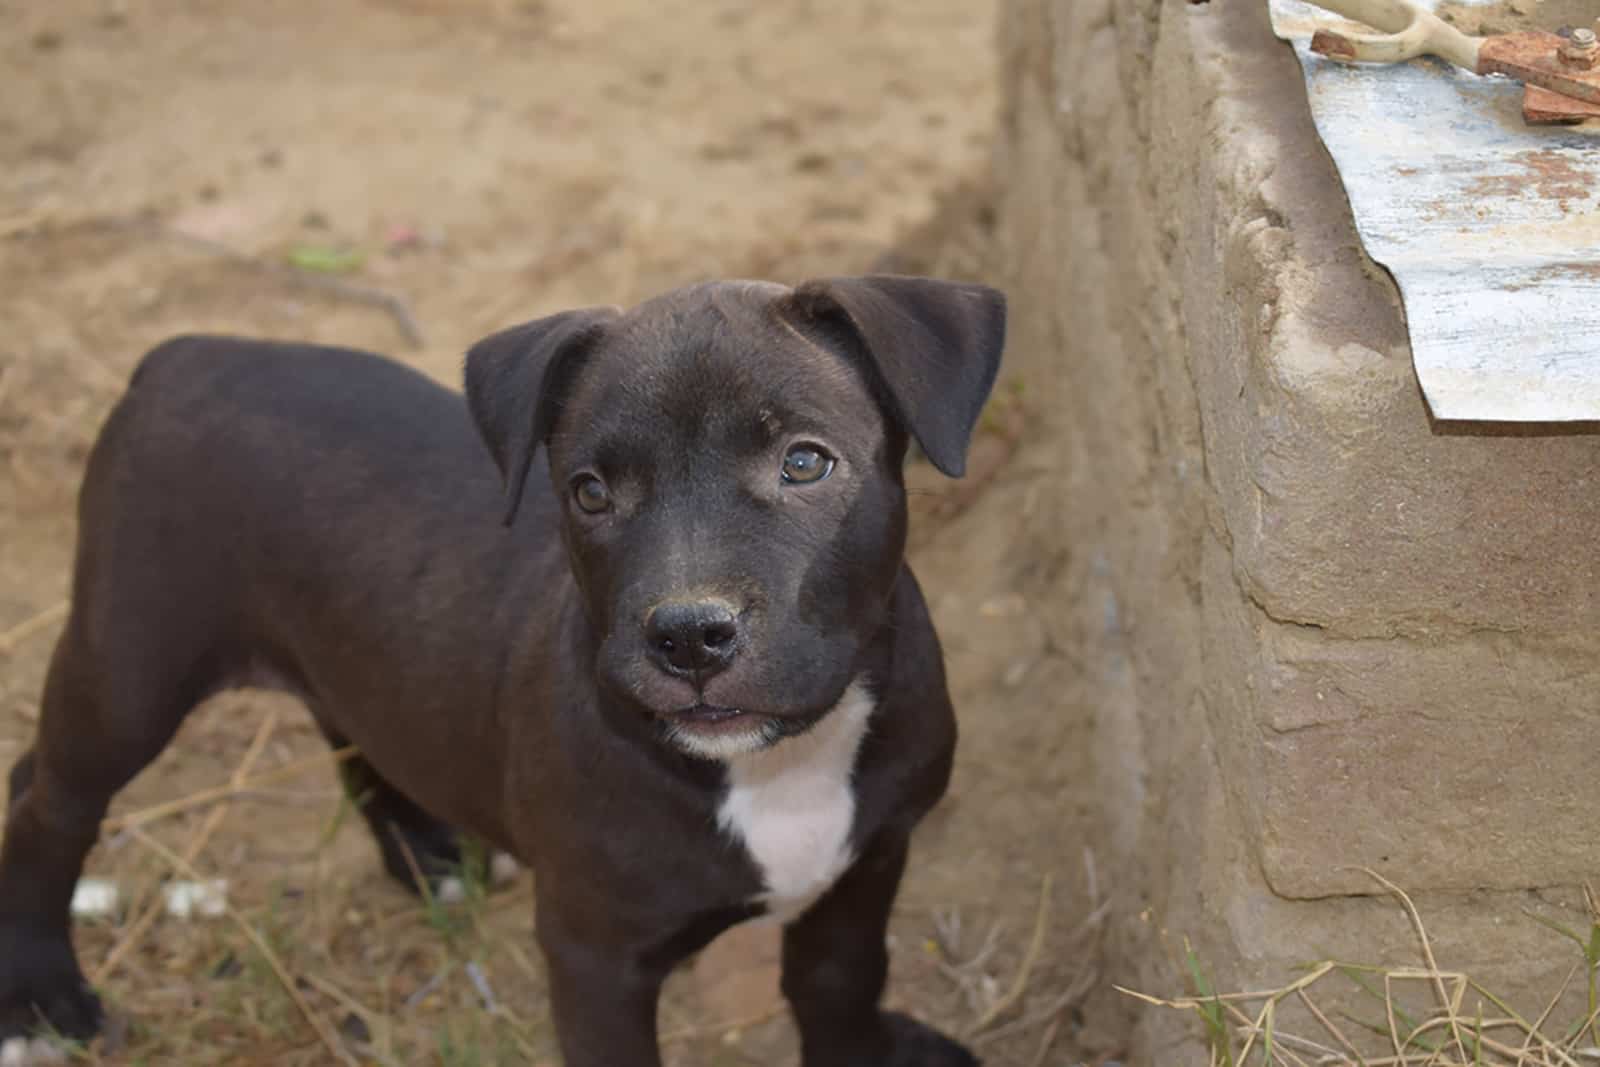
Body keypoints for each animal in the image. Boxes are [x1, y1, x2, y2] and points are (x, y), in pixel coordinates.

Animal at [0, 278, 998, 1067]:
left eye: (805, 462)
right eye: (589, 491)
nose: (687, 636)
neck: (775, 765)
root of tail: (184, 352)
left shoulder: (870, 859)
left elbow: (841, 980)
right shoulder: (594, 952)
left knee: (346, 711)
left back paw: (423, 850)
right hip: (130, 668)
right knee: (49, 800)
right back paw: (42, 998)